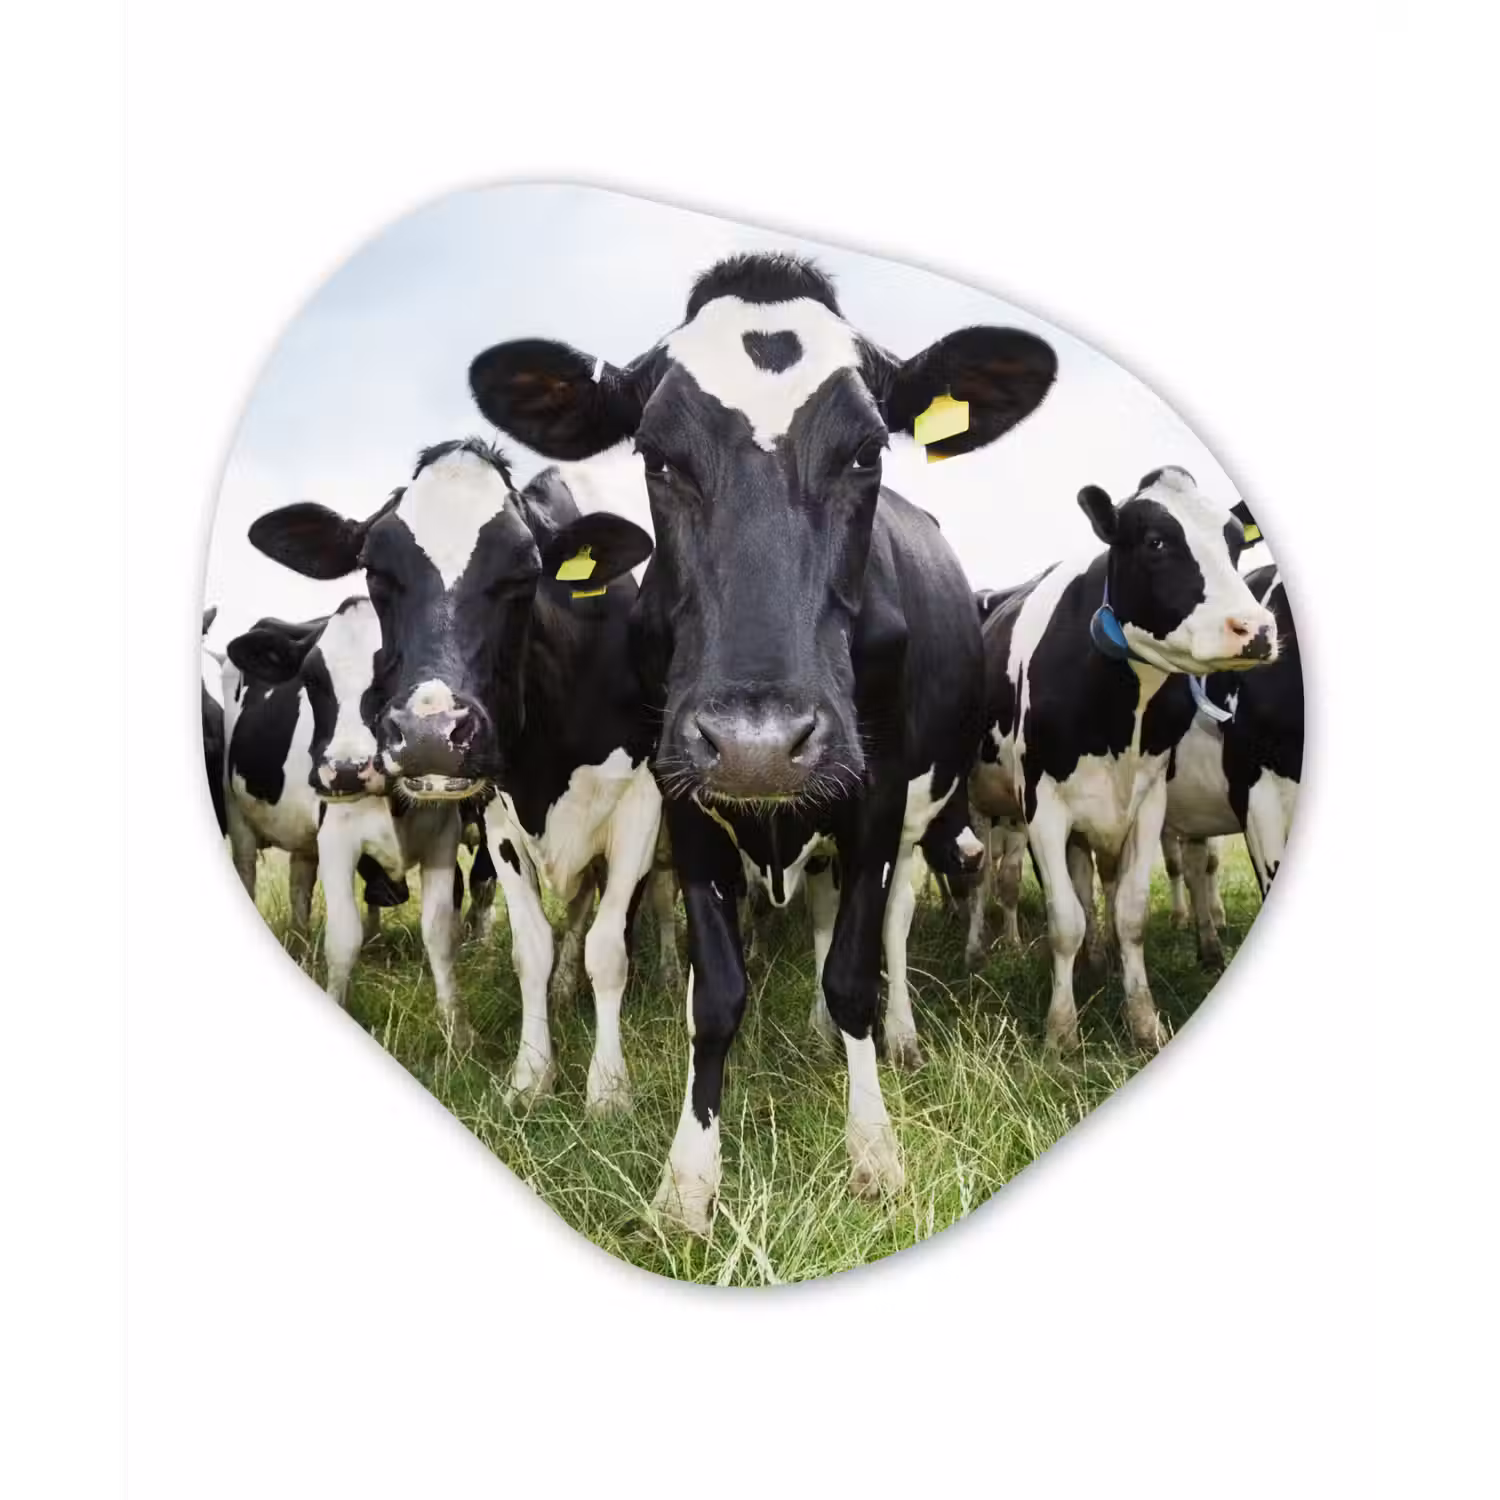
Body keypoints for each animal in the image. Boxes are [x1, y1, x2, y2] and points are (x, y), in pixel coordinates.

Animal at [223, 599, 490, 1025]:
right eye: (311, 680)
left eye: (394, 671)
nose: (347, 770)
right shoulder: (336, 840)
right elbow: (344, 938)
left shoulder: (443, 837)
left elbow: (440, 932)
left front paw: (455, 1026)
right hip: (239, 817)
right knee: (248, 871)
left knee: (300, 884)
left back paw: (301, 950)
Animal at [467, 251, 1057, 1231]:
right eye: (657, 456)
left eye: (867, 451)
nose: (758, 743)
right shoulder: (682, 796)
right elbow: (715, 992)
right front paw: (687, 1182)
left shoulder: (876, 795)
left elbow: (854, 971)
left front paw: (874, 1152)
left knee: (889, 926)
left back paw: (892, 1038)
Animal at [968, 465, 1277, 1054]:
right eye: (1156, 542)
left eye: (1234, 541)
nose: (1257, 629)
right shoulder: (1042, 805)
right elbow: (1064, 919)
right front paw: (1061, 1032)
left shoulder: (1148, 801)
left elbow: (1128, 913)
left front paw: (1143, 1019)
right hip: (982, 806)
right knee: (985, 880)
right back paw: (978, 949)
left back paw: (1099, 961)